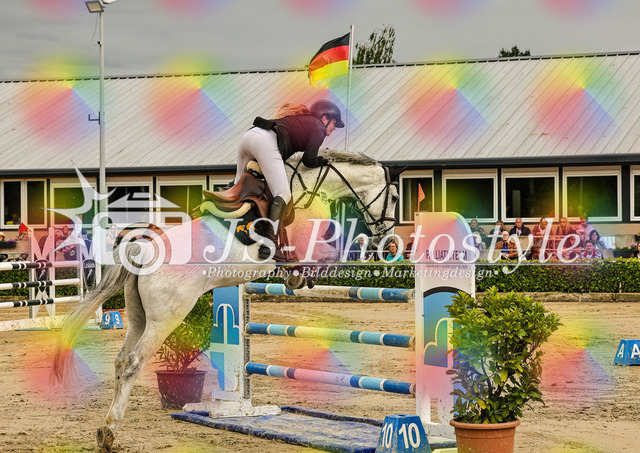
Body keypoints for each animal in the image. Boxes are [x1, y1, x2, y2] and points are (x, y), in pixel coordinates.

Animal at [51, 150, 399, 451]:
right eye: (395, 197)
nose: (387, 239)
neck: (307, 188)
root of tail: (145, 248)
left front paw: (297, 278)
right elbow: (324, 253)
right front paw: (301, 276)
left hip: (138, 318)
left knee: (121, 360)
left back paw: (106, 427)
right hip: (166, 318)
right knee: (134, 362)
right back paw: (109, 431)